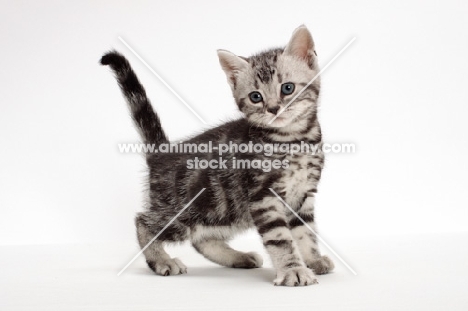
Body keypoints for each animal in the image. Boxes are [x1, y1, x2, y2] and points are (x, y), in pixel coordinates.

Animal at [101, 25, 334, 286]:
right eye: (256, 97)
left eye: (287, 88)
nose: (273, 109)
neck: (293, 140)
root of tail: (161, 154)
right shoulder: (264, 197)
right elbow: (280, 238)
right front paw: (293, 269)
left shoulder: (303, 194)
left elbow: (305, 232)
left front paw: (313, 260)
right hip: (186, 213)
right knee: (144, 222)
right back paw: (161, 260)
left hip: (225, 212)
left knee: (201, 239)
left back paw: (238, 257)